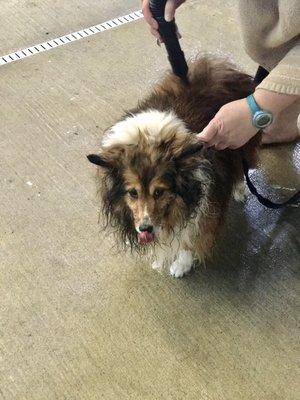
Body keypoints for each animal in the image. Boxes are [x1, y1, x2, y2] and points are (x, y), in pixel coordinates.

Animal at [87, 57, 258, 278]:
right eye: (132, 193)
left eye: (159, 192)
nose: (145, 229)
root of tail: (220, 66)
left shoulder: (202, 208)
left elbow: (188, 238)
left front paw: (181, 265)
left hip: (239, 140)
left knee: (239, 168)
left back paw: (238, 190)